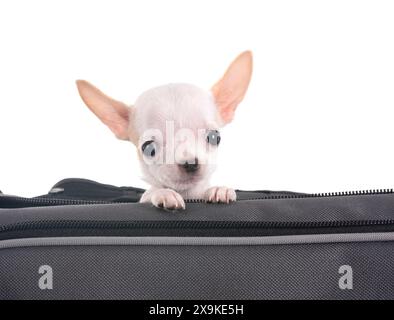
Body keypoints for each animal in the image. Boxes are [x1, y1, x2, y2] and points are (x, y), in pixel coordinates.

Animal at [77, 50, 252, 210]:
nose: (190, 163)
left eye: (214, 137)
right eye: (149, 148)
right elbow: (153, 192)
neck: (188, 195)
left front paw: (218, 189)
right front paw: (164, 193)